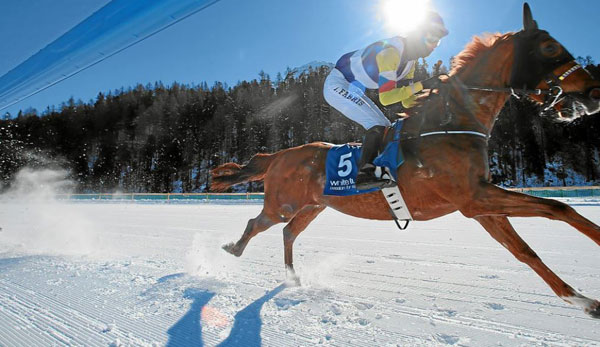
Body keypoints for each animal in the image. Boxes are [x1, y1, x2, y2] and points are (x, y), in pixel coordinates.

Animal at [210, 2, 600, 318]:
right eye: (549, 47)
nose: (594, 92)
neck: (450, 122)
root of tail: (280, 155)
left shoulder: (480, 202)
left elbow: (526, 249)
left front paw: (584, 300)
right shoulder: (473, 199)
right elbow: (557, 208)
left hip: (314, 205)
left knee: (288, 232)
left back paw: (292, 277)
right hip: (283, 203)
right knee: (256, 222)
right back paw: (232, 249)